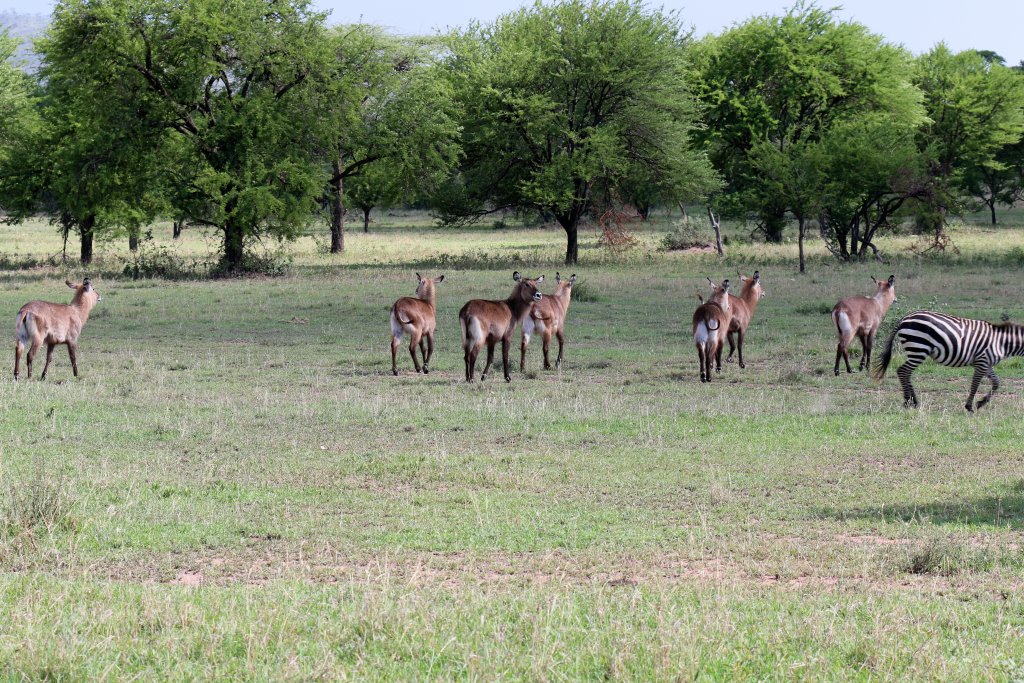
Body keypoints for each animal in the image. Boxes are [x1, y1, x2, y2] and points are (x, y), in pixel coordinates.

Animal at [874, 310, 1024, 411]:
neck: (1001, 342)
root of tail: (903, 319)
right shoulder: (982, 361)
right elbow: (975, 384)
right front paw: (969, 406)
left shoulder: (986, 363)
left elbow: (996, 382)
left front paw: (981, 403)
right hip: (918, 348)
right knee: (903, 371)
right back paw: (907, 402)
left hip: (916, 350)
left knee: (906, 373)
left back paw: (914, 402)